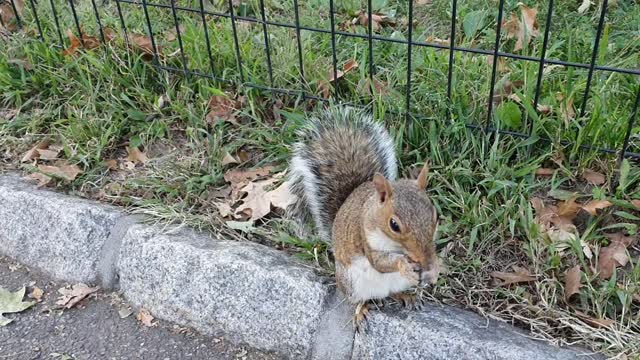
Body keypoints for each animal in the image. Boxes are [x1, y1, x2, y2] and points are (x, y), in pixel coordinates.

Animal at [288, 106, 440, 324]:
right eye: (394, 225)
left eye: (435, 216)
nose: (424, 260)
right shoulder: (366, 238)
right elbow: (380, 263)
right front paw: (403, 264)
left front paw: (434, 269)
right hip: (353, 283)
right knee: (357, 299)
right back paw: (362, 310)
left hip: (397, 283)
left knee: (393, 292)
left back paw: (406, 296)